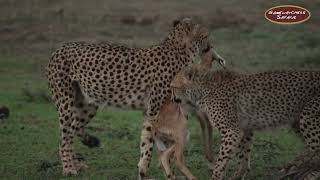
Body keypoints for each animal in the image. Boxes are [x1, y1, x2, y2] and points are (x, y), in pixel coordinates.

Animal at [45, 18, 226, 177]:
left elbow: (157, 143)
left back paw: (79, 159)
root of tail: (60, 48)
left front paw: (164, 170)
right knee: (64, 138)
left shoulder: (157, 112)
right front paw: (146, 169)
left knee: (72, 130)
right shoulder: (154, 111)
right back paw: (69, 168)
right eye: (206, 35)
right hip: (66, 104)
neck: (179, 49)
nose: (210, 47)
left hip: (87, 105)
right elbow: (150, 143)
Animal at [171, 65, 320, 180]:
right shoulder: (245, 129)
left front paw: (216, 176)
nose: (172, 99)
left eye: (174, 87)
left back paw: (308, 173)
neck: (203, 88)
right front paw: (239, 175)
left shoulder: (232, 130)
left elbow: (222, 159)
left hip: (308, 120)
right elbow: (244, 154)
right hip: (298, 123)